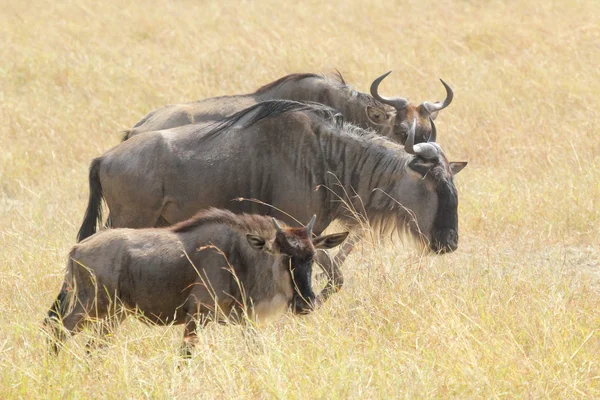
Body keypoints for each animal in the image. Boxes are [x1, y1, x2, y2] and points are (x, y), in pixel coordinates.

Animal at [44, 208, 350, 354]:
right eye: (283, 255)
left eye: (311, 257)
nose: (305, 303)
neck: (237, 257)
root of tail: (77, 249)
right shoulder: (197, 315)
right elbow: (186, 357)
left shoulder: (245, 320)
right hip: (89, 307)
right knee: (58, 331)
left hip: (113, 315)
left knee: (92, 347)